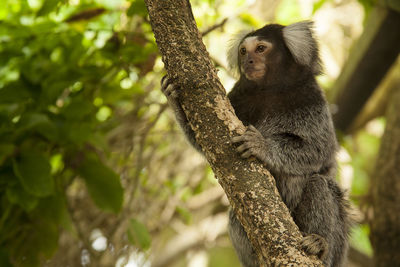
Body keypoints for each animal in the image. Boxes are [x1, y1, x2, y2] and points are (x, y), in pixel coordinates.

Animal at [161, 19, 348, 266]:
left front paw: (260, 145)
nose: (248, 61)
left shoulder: (312, 101)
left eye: (260, 49)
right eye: (243, 51)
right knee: (234, 215)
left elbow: (318, 151)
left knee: (320, 185)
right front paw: (172, 97)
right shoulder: (237, 97)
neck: (270, 89)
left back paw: (319, 244)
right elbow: (205, 140)